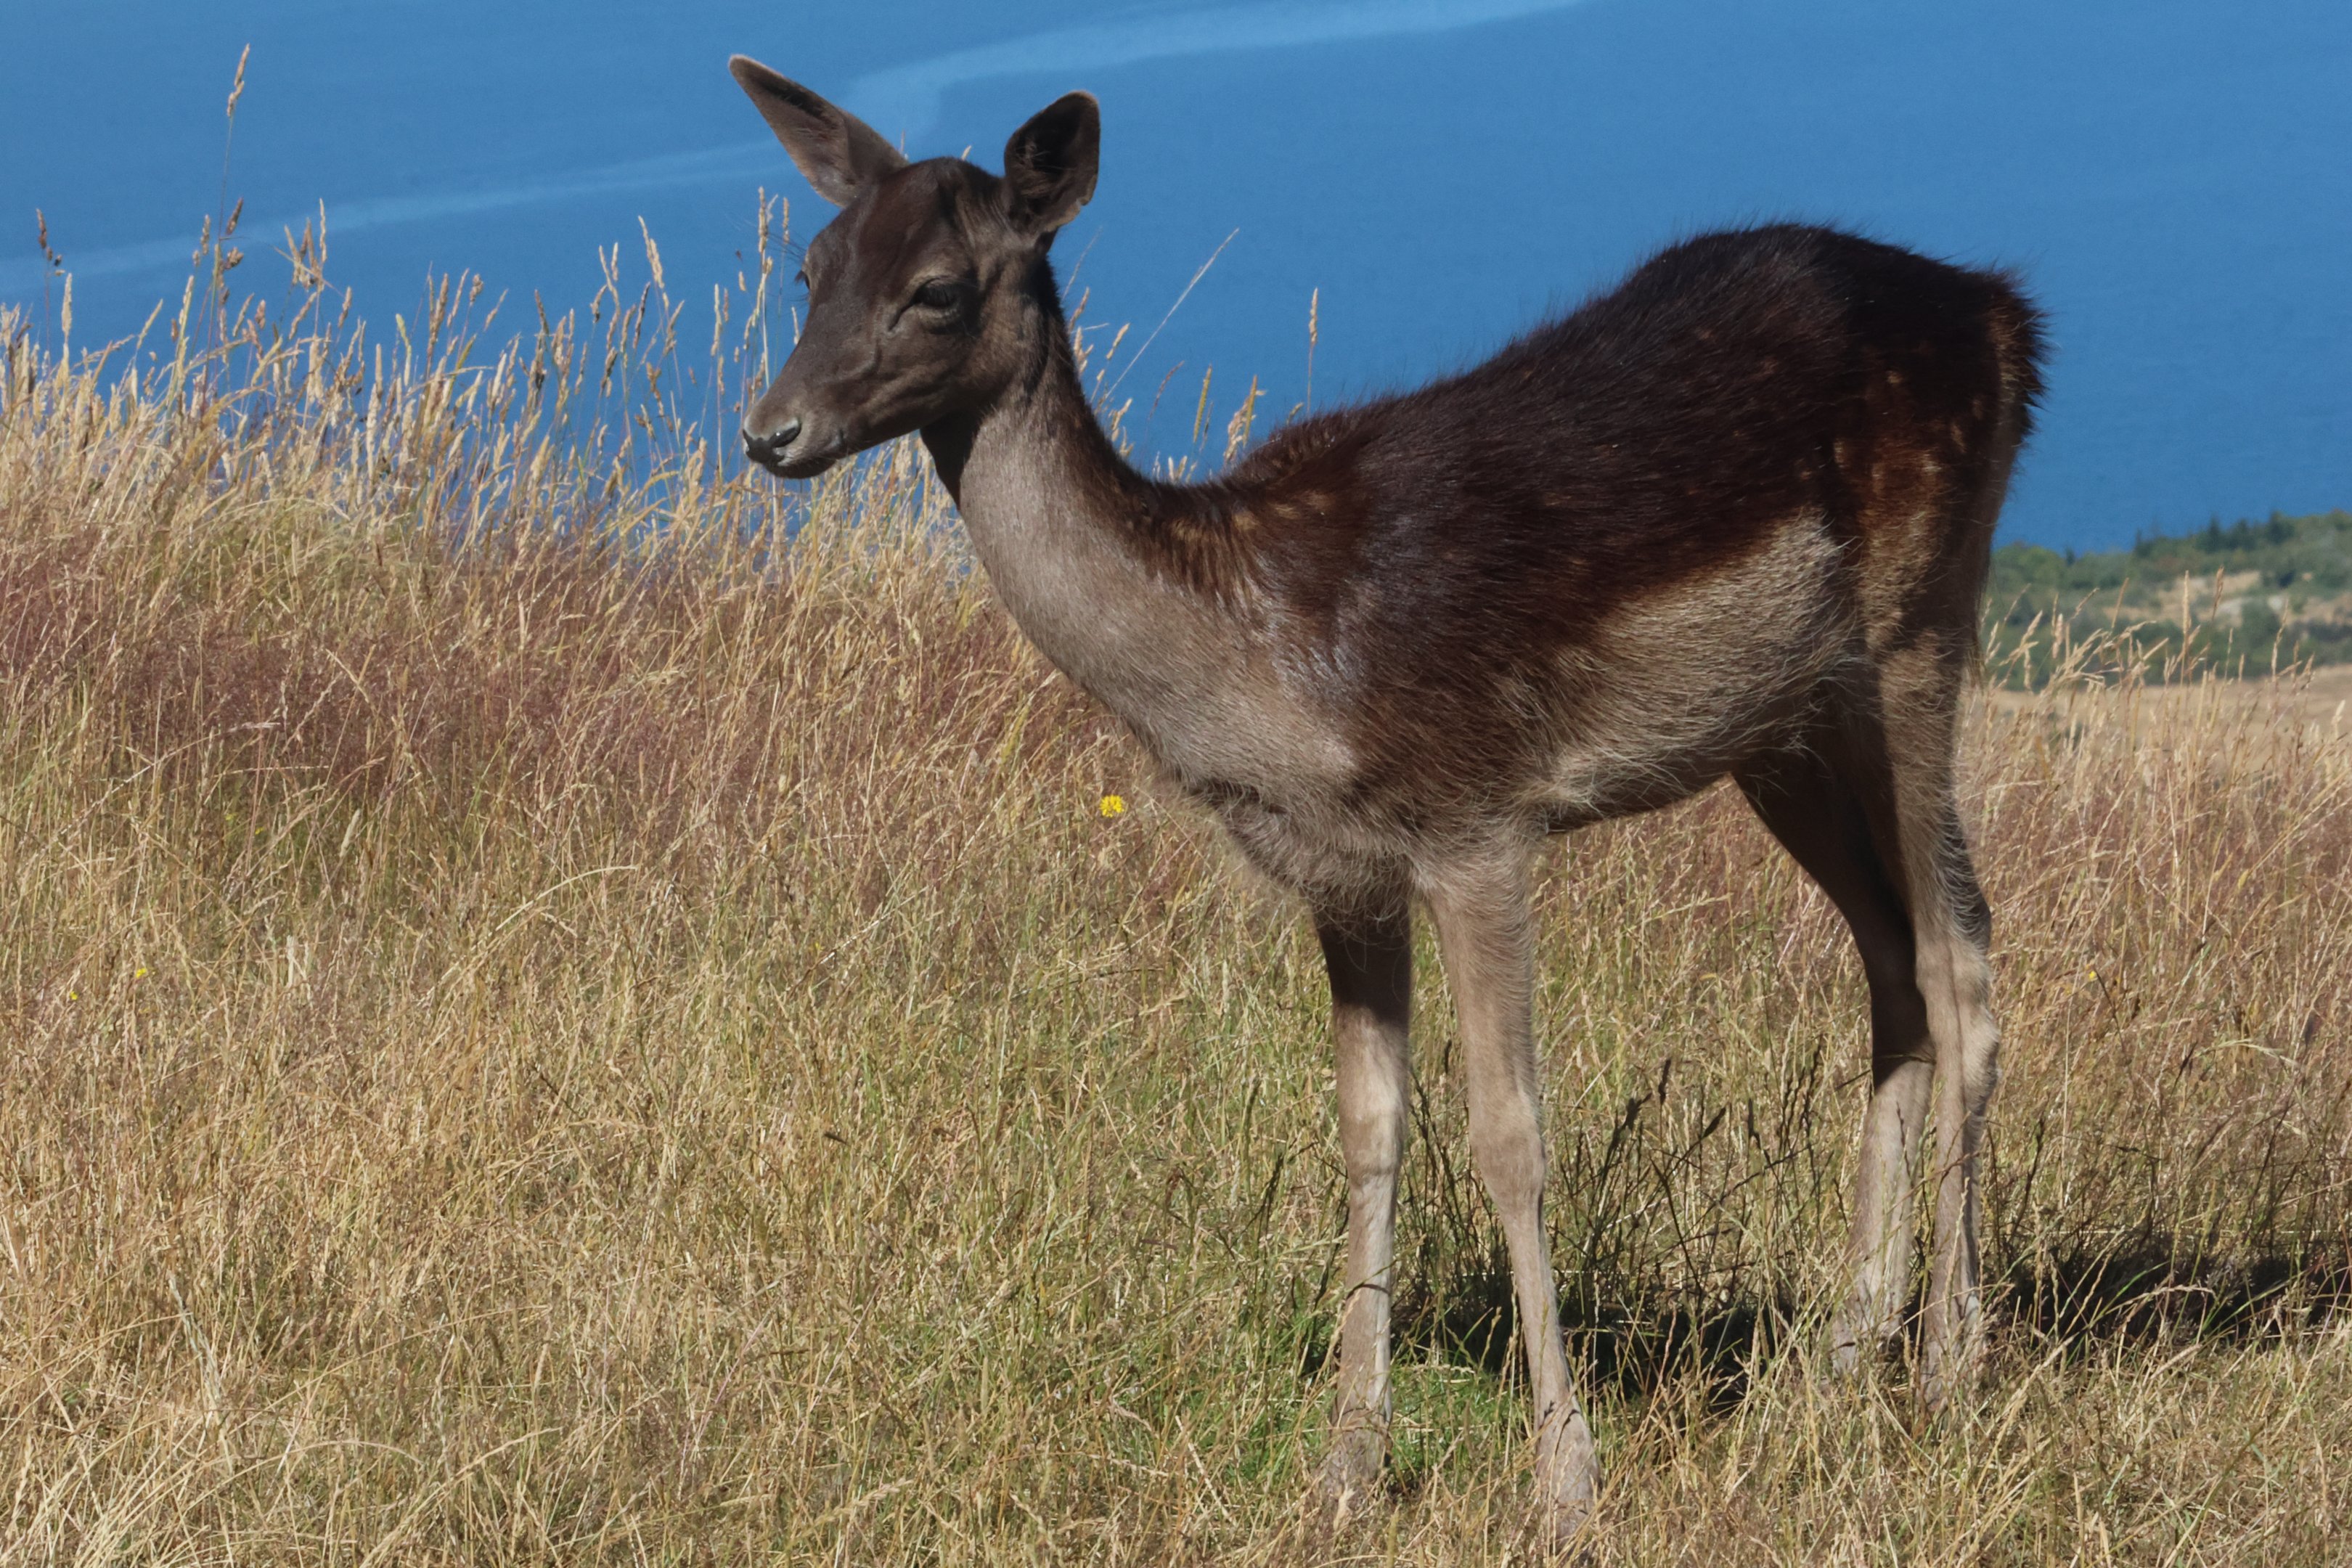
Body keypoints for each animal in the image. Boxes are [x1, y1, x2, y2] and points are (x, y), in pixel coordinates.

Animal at [725, 56, 2045, 1543]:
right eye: (811, 264)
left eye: (939, 287)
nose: (771, 430)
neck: (1268, 672)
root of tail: (2009, 317)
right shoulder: (1340, 876)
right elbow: (1368, 1132)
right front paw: (1351, 1461)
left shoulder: (1474, 819)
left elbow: (1513, 1137)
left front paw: (1565, 1479)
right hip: (1788, 728)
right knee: (1891, 964)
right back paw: (1841, 1355)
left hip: (1920, 623)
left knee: (1962, 956)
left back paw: (1949, 1370)